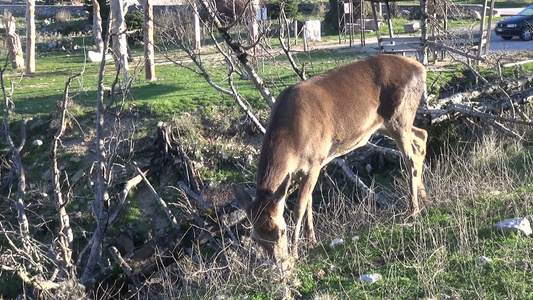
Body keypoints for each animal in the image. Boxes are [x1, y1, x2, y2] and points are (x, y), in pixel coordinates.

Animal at [231, 54, 426, 270]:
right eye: (256, 239)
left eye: (282, 230)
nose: (281, 265)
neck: (293, 139)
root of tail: (421, 69)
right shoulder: (300, 171)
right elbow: (308, 202)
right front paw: (311, 242)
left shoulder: (315, 161)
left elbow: (299, 208)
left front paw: (296, 253)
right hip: (388, 124)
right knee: (421, 137)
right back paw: (424, 196)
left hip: (400, 116)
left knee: (410, 157)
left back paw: (414, 209)